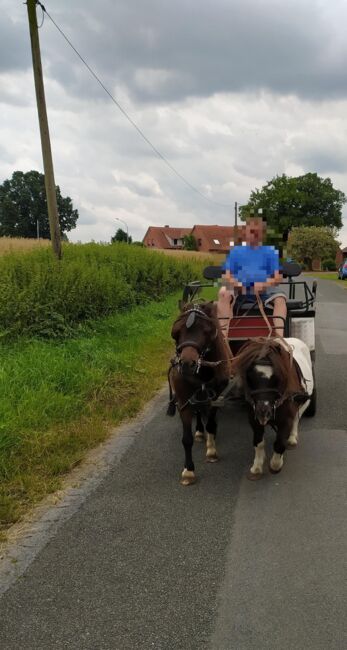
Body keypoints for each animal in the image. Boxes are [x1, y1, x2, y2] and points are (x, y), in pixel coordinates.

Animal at [168, 302, 231, 484]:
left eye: (206, 331)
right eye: (176, 331)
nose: (187, 364)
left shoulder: (216, 397)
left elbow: (211, 424)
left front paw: (211, 450)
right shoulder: (183, 401)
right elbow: (186, 439)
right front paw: (188, 470)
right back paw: (199, 431)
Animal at [232, 334, 312, 476]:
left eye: (277, 376)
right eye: (249, 376)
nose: (263, 412)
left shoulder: (286, 419)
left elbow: (279, 443)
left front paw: (276, 465)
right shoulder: (253, 418)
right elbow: (258, 442)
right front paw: (257, 466)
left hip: (303, 403)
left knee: (297, 419)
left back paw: (292, 438)